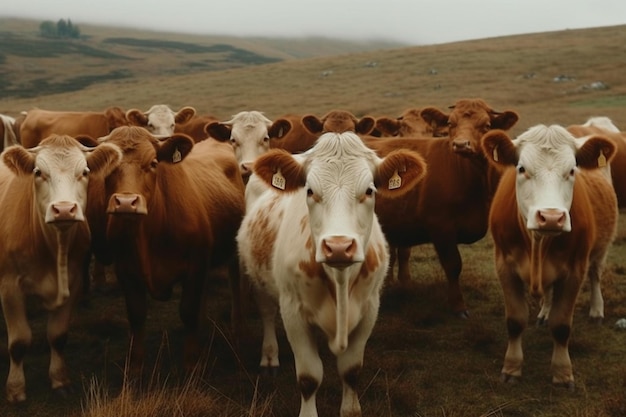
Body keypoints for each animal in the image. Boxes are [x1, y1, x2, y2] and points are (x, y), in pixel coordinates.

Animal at [0, 135, 121, 402]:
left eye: (85, 172)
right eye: (38, 172)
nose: (64, 209)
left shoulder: (73, 282)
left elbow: (58, 335)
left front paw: (59, 380)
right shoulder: (9, 286)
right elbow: (19, 341)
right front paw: (16, 389)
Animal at [91, 125, 246, 372]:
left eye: (154, 163)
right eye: (109, 166)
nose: (126, 203)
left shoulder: (195, 266)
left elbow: (188, 311)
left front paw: (191, 362)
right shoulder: (125, 271)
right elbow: (137, 316)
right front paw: (135, 367)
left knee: (234, 281)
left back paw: (238, 328)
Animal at [236, 131, 426, 416]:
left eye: (369, 190)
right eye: (309, 191)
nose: (338, 246)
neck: (340, 280)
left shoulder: (369, 309)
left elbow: (351, 371)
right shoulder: (293, 312)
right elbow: (309, 377)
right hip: (257, 275)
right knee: (267, 312)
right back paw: (269, 357)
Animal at [360, 97, 516, 316]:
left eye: (486, 125)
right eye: (451, 123)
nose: (461, 144)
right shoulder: (441, 226)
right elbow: (453, 265)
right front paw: (458, 306)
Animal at [480, 122, 616, 386]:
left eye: (572, 170)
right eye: (521, 168)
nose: (551, 217)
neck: (537, 243)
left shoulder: (575, 270)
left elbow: (561, 325)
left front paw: (562, 372)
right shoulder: (504, 265)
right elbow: (515, 321)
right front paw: (512, 368)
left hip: (601, 248)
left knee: (596, 275)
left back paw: (596, 311)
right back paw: (544, 313)